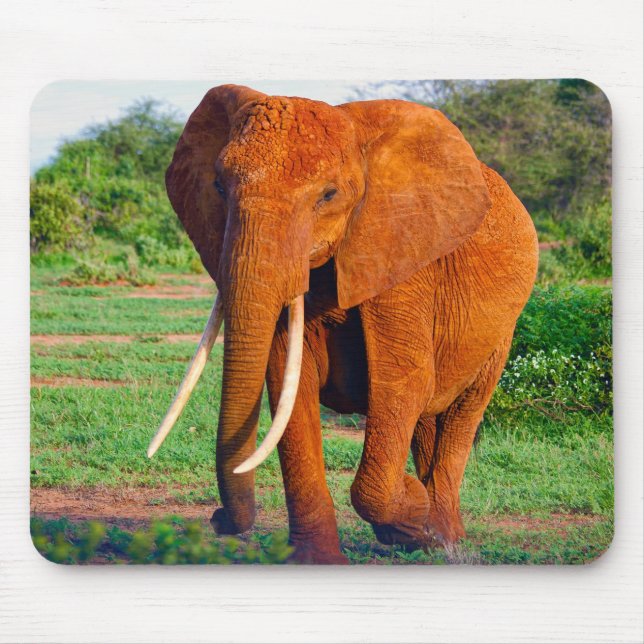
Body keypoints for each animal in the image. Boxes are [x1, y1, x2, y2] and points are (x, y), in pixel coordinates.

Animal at [147, 84, 539, 564]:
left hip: (504, 329)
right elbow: (288, 386)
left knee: (462, 412)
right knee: (430, 418)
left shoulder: (401, 257)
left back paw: (442, 538)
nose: (218, 519)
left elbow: (403, 382)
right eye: (219, 186)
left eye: (328, 195)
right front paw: (318, 561)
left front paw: (412, 511)